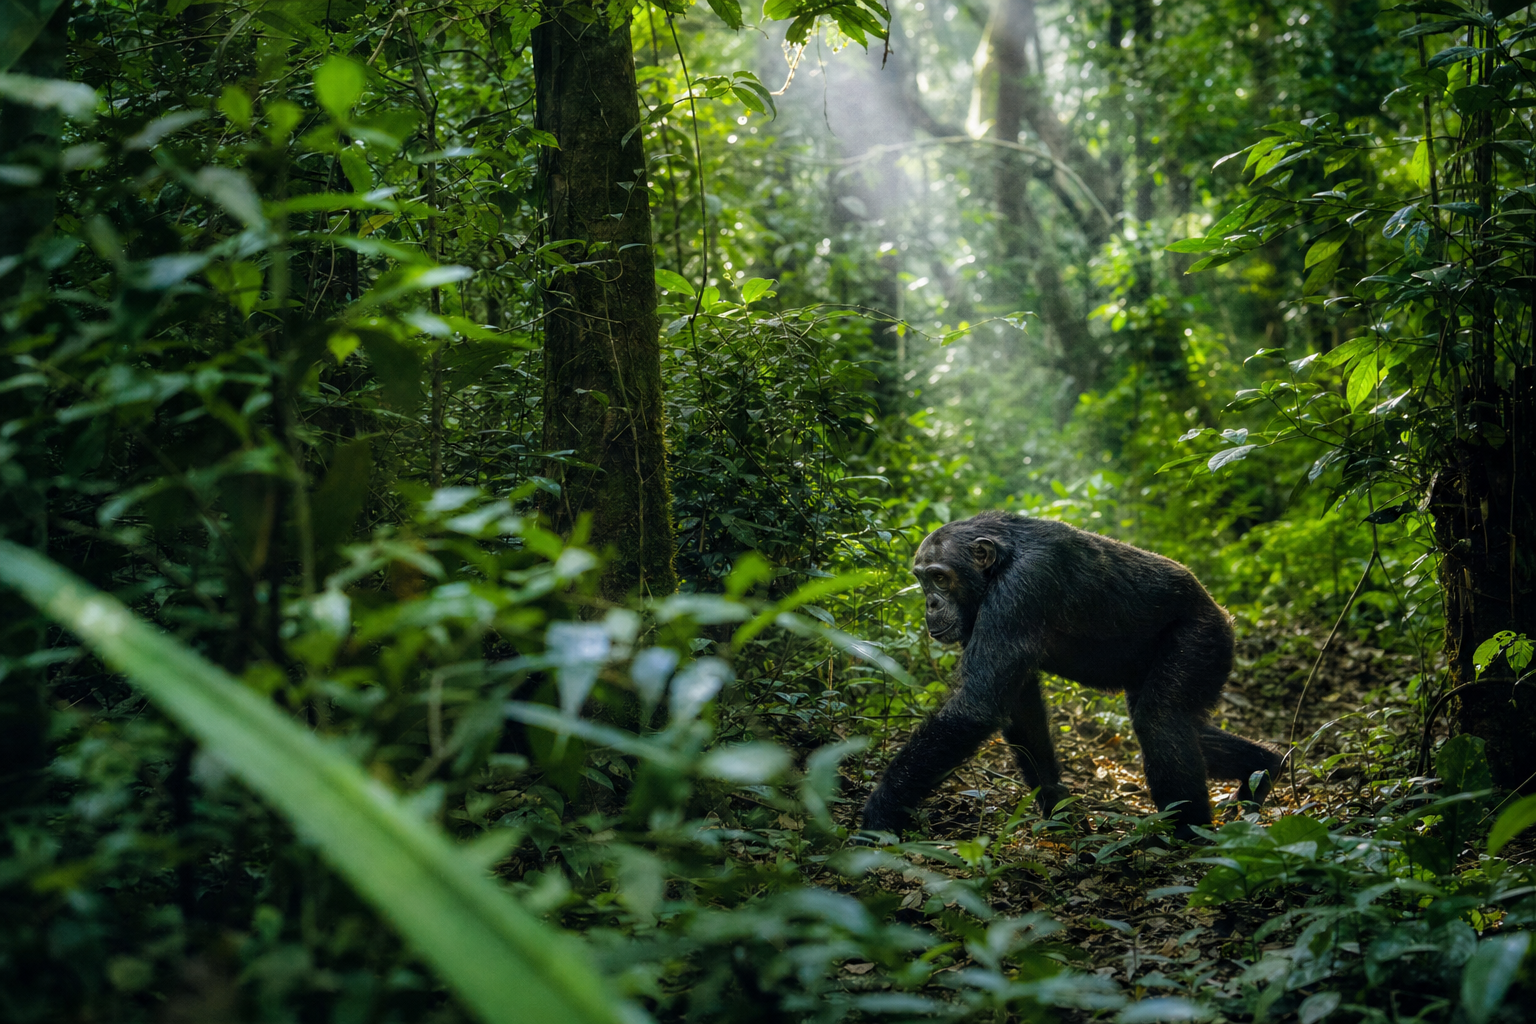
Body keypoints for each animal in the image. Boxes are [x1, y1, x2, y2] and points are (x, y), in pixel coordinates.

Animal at [861, 511, 1284, 839]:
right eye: (922, 579)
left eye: (940, 578)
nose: (930, 604)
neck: (998, 566)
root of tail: (1225, 615)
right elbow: (1019, 705)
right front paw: (1061, 810)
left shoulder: (1023, 586)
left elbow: (976, 706)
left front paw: (880, 810)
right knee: (1186, 726)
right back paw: (1263, 769)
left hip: (1200, 641)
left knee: (1161, 721)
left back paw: (1187, 836)